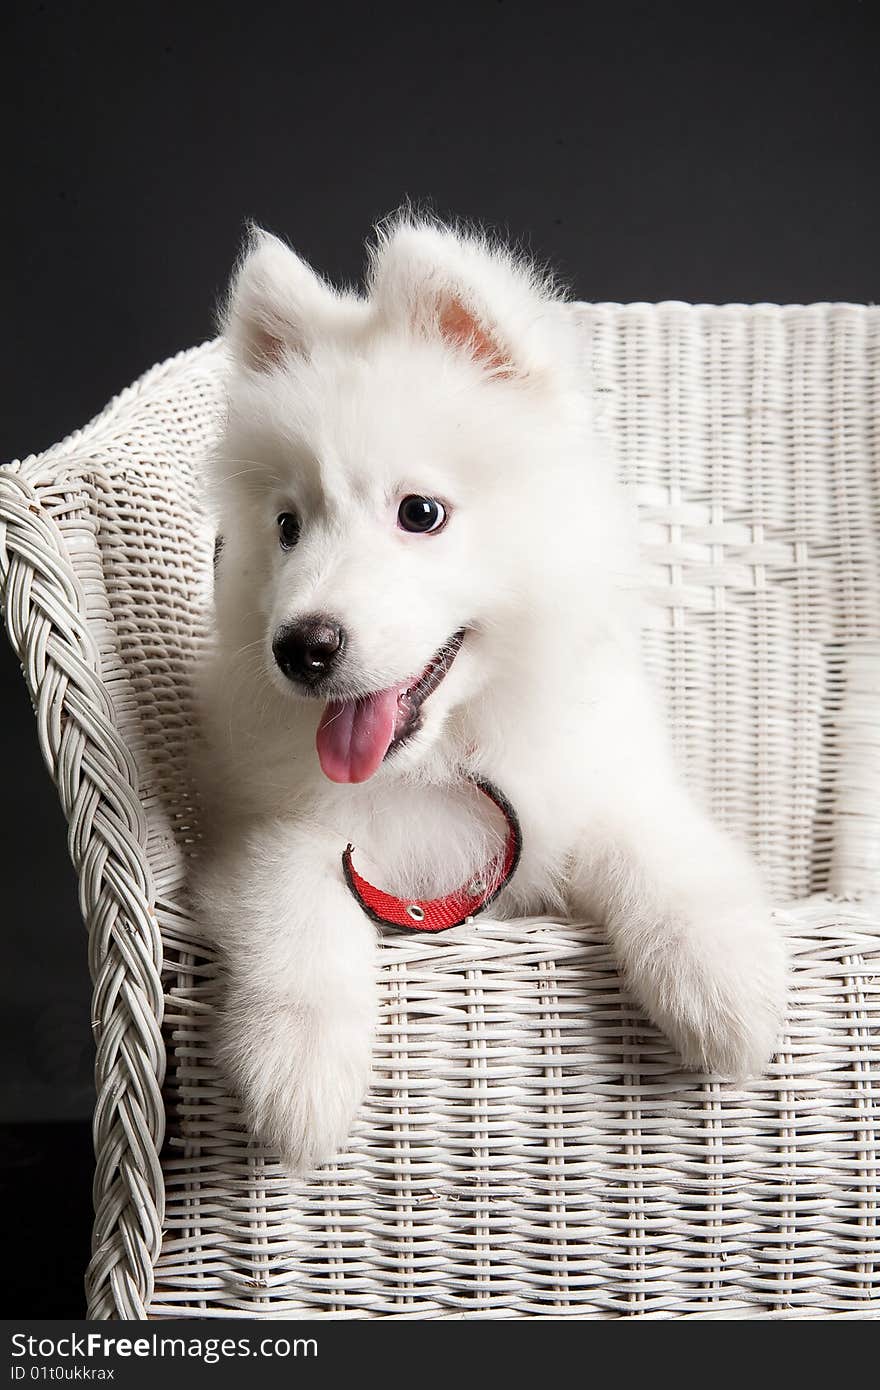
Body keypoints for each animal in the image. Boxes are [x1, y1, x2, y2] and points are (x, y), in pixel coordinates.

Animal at [196, 216, 784, 1173]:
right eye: (287, 527)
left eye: (421, 513)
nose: (301, 649)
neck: (448, 755)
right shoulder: (254, 830)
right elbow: (294, 896)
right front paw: (298, 1077)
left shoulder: (590, 785)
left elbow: (657, 849)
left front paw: (723, 985)